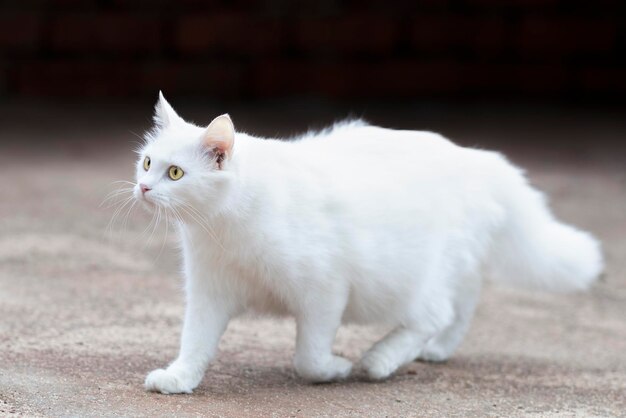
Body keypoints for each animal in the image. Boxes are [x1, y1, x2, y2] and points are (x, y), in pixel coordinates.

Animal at [135, 93, 600, 394]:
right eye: (147, 162)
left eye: (174, 173)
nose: (142, 187)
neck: (222, 230)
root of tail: (475, 157)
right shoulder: (209, 292)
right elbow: (195, 342)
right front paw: (180, 378)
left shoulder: (324, 290)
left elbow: (309, 358)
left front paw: (334, 370)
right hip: (451, 267)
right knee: (461, 307)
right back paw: (435, 350)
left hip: (413, 278)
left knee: (436, 313)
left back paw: (380, 360)